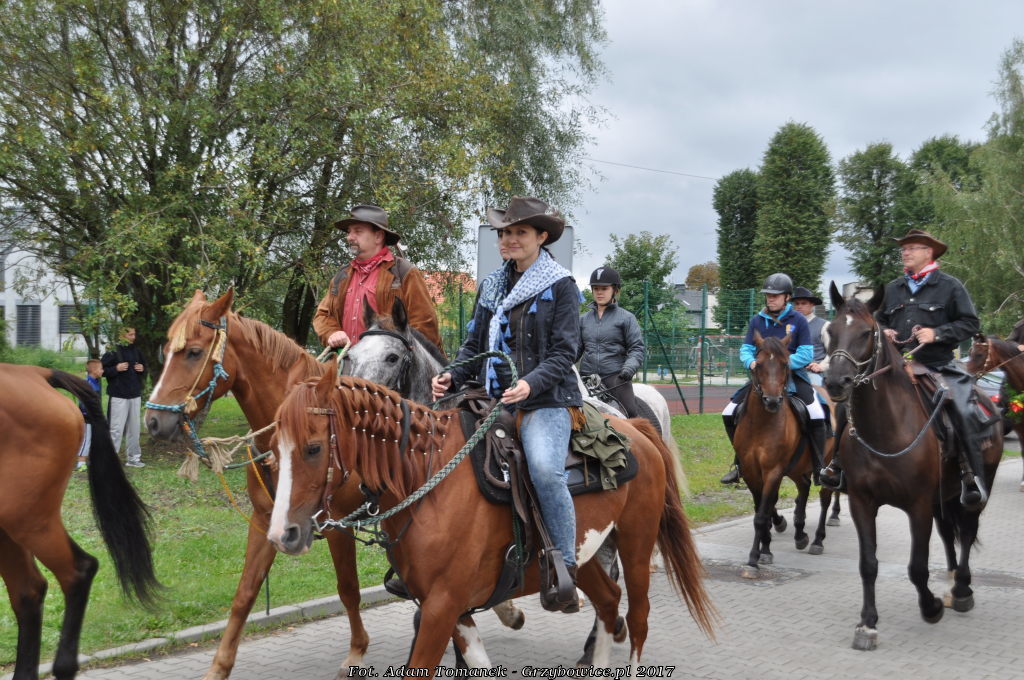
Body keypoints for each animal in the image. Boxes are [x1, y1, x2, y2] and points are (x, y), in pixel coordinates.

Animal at [267, 370, 716, 673]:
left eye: (312, 448)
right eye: (272, 449)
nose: (282, 534)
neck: (429, 484)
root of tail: (635, 428)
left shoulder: (442, 605)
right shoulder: (448, 607)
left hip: (637, 543)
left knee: (637, 618)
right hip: (581, 556)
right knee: (609, 602)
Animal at [824, 283, 1003, 651]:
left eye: (866, 332)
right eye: (831, 331)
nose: (836, 382)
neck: (886, 428)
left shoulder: (918, 505)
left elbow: (917, 567)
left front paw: (931, 607)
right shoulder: (862, 502)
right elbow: (868, 564)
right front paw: (867, 623)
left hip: (976, 490)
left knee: (967, 531)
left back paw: (961, 589)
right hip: (943, 497)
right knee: (950, 534)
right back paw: (951, 580)